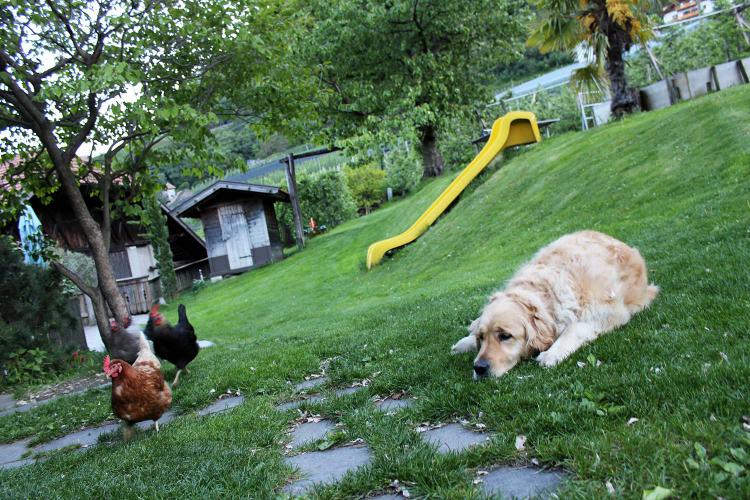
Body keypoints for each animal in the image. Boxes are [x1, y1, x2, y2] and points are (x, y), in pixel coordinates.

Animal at [452, 231, 656, 378]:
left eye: (505, 336)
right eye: (482, 338)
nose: (478, 368)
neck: (545, 292)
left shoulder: (610, 311)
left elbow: (574, 328)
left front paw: (552, 353)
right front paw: (466, 341)